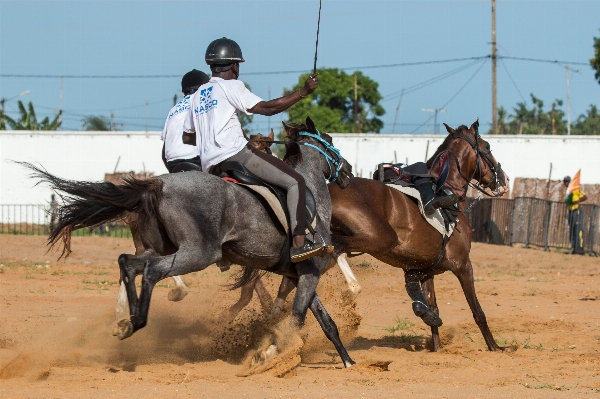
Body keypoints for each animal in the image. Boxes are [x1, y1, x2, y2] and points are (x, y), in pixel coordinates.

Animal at [24, 117, 356, 370]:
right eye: (329, 140)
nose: (349, 171)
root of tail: (158, 183)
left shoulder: (299, 275)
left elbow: (325, 322)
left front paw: (348, 361)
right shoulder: (309, 272)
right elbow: (296, 320)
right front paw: (269, 353)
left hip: (160, 248)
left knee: (128, 263)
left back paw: (125, 321)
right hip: (197, 254)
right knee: (153, 271)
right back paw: (138, 319)